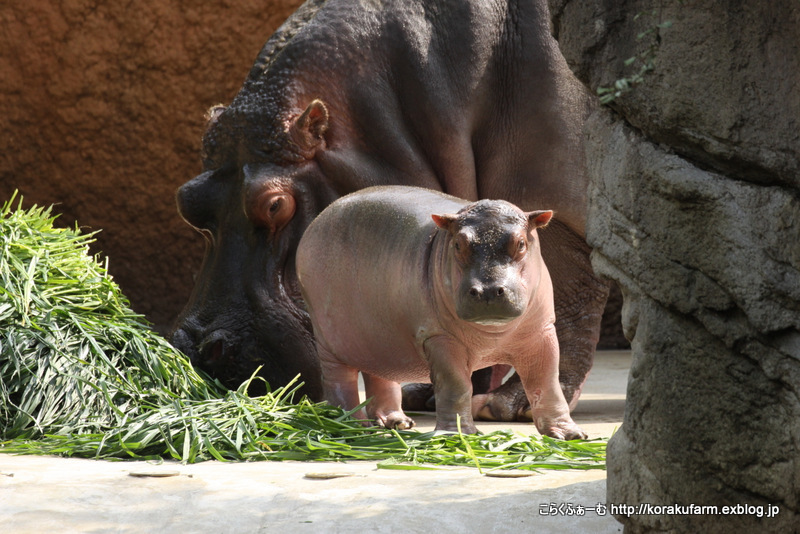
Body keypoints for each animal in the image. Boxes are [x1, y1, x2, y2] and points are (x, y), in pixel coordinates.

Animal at [296, 186, 584, 442]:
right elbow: (456, 386)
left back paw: (398, 423)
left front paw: (569, 435)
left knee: (380, 375)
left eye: (522, 243)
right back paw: (350, 425)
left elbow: (547, 384)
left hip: (379, 337)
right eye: (457, 244)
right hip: (328, 341)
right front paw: (458, 435)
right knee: (338, 381)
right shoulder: (439, 339)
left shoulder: (541, 333)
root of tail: (317, 220)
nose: (488, 291)